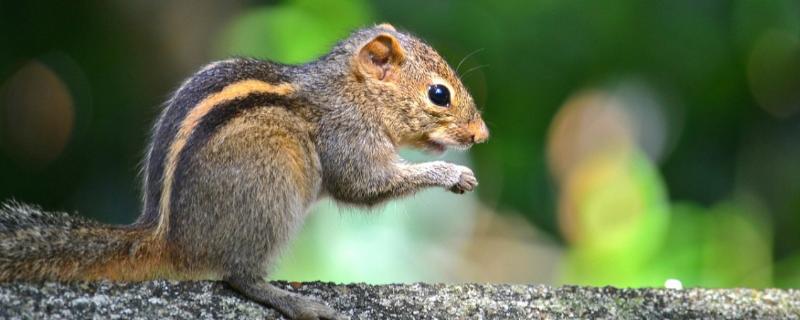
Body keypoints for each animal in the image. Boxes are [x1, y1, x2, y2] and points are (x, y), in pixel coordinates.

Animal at [0, 23, 488, 320]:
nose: (481, 134)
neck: (351, 91)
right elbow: (365, 185)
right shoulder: (346, 136)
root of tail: (168, 236)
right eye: (439, 94)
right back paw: (295, 301)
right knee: (238, 276)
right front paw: (451, 173)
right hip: (270, 197)